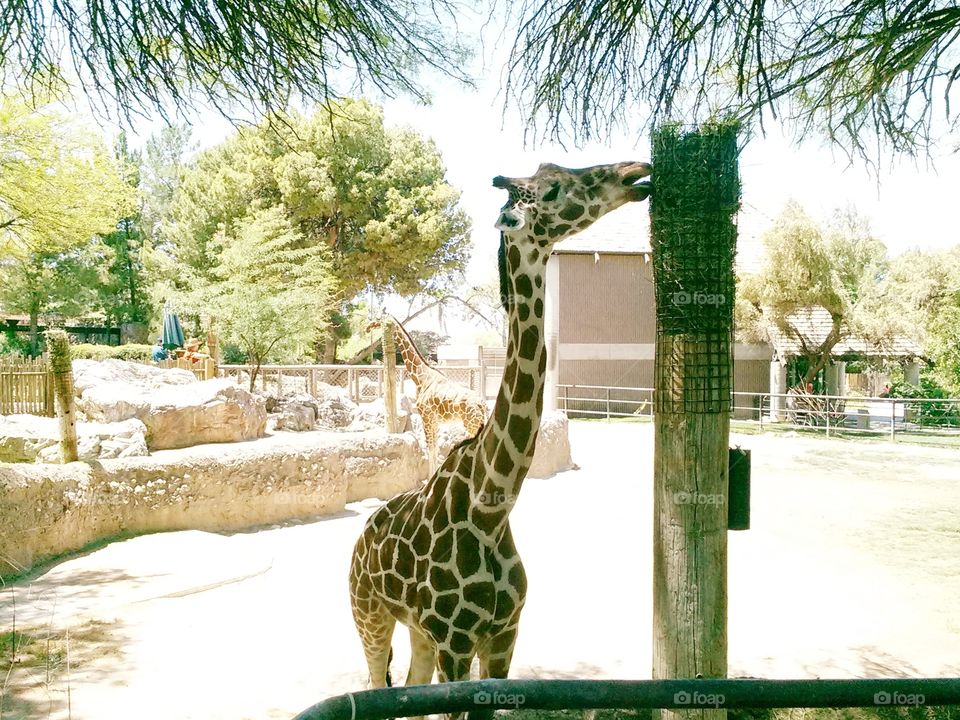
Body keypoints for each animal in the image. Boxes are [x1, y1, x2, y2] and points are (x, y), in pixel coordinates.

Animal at [368, 315, 488, 471]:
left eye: (379, 318)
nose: (368, 327)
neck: (420, 377)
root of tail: (483, 405)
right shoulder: (434, 419)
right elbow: (435, 447)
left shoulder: (426, 415)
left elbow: (430, 447)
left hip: (472, 424)